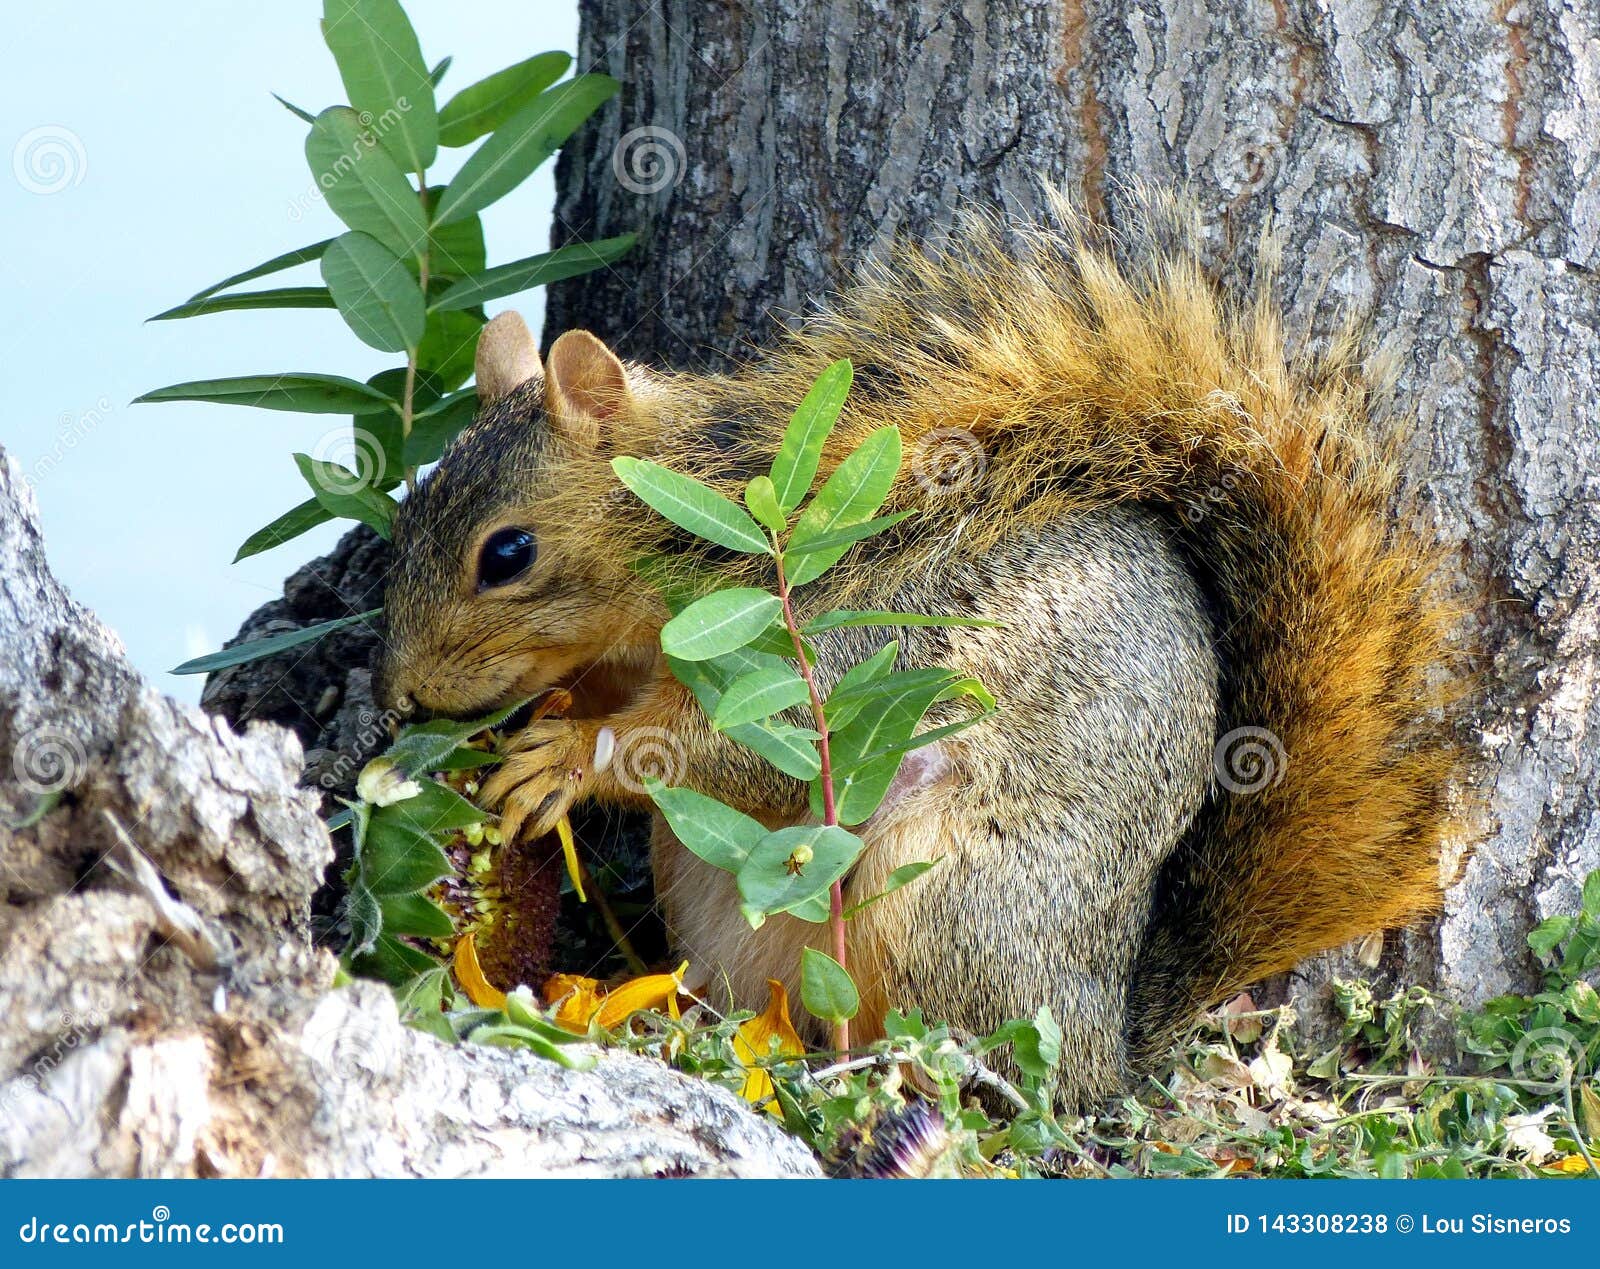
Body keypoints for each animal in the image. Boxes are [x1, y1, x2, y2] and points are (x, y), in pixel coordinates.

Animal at [374, 194, 1463, 1108]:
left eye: (507, 554)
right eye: (408, 511)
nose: (404, 697)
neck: (704, 534)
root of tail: (1113, 1041)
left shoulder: (825, 654)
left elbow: (720, 749)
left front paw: (562, 757)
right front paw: (547, 723)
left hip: (945, 901)